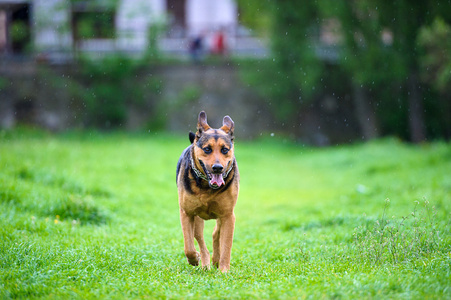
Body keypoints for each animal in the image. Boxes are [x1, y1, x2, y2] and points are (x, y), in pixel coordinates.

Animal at [177, 110, 240, 272]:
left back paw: (216, 261)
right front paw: (194, 259)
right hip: (197, 220)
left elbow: (226, 246)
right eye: (207, 149)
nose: (217, 168)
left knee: (215, 233)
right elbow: (188, 246)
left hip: (223, 216)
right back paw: (204, 263)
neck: (207, 187)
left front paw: (223, 270)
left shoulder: (228, 215)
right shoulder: (187, 213)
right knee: (201, 241)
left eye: (225, 150)